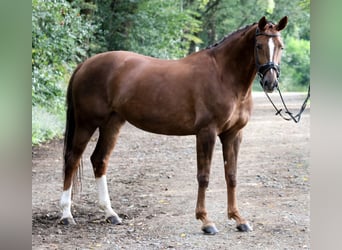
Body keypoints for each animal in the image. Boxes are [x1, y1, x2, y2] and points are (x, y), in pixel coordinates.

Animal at [59, 16, 288, 233]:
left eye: (280, 46)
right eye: (258, 46)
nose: (270, 82)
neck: (223, 75)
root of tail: (85, 64)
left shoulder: (233, 134)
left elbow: (231, 176)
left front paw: (239, 219)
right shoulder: (207, 132)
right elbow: (204, 176)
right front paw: (206, 221)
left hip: (112, 123)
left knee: (99, 160)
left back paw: (110, 214)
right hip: (86, 123)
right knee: (72, 159)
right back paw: (66, 215)